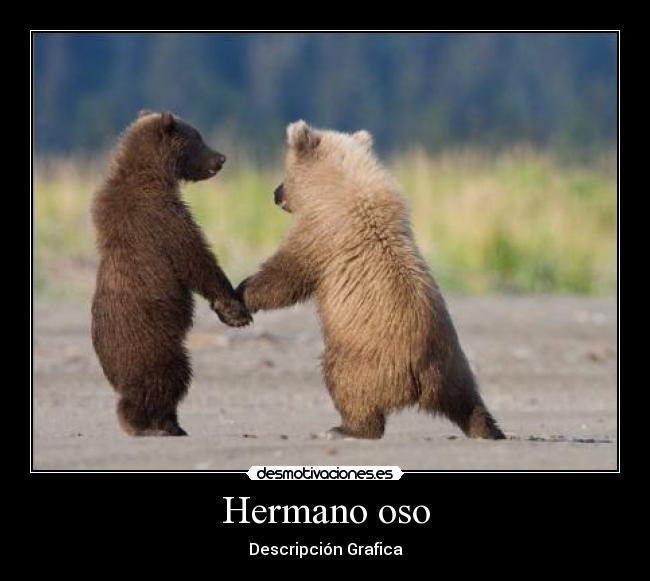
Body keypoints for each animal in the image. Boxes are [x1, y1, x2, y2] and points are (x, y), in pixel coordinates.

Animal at [91, 111, 252, 436]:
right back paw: (153, 423)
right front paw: (232, 308)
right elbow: (193, 256)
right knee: (169, 377)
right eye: (198, 138)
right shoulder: (159, 215)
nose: (221, 157)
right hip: (154, 343)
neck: (154, 173)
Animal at [237, 120, 505, 440]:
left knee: (346, 385)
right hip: (454, 364)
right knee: (467, 400)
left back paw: (346, 428)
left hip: (364, 357)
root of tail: (421, 376)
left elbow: (288, 274)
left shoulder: (323, 233)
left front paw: (242, 292)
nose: (275, 193)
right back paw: (488, 429)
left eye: (285, 172)